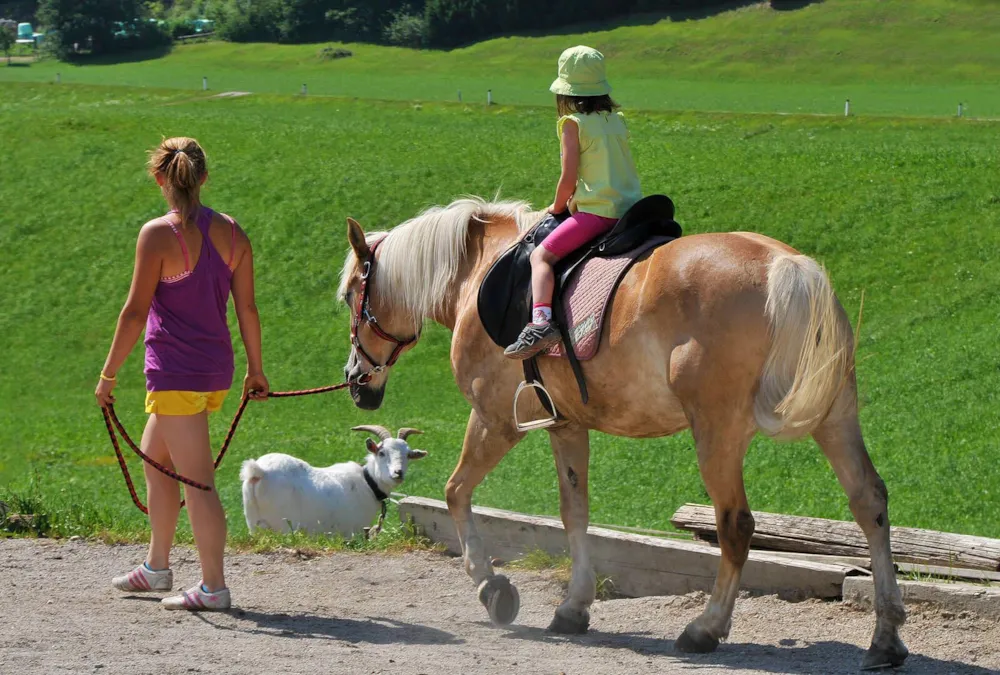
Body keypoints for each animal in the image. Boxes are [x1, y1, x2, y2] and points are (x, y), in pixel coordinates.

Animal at [243, 428, 430, 540]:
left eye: (408, 455)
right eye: (381, 453)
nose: (398, 473)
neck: (368, 483)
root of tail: (259, 471)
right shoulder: (353, 532)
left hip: (254, 524)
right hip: (284, 525)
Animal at [336, 197, 908, 672]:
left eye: (349, 295)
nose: (354, 380)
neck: (481, 271)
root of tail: (787, 267)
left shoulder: (495, 421)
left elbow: (456, 492)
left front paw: (491, 586)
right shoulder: (565, 424)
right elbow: (575, 511)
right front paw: (573, 607)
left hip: (717, 434)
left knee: (736, 525)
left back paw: (705, 628)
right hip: (836, 417)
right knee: (869, 502)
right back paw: (885, 638)